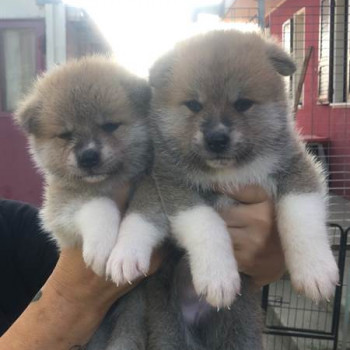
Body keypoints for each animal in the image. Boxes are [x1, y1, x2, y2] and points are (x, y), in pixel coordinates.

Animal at [14, 56, 150, 276]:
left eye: (110, 126)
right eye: (65, 135)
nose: (88, 157)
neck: (107, 184)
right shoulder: (59, 206)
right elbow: (99, 205)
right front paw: (102, 245)